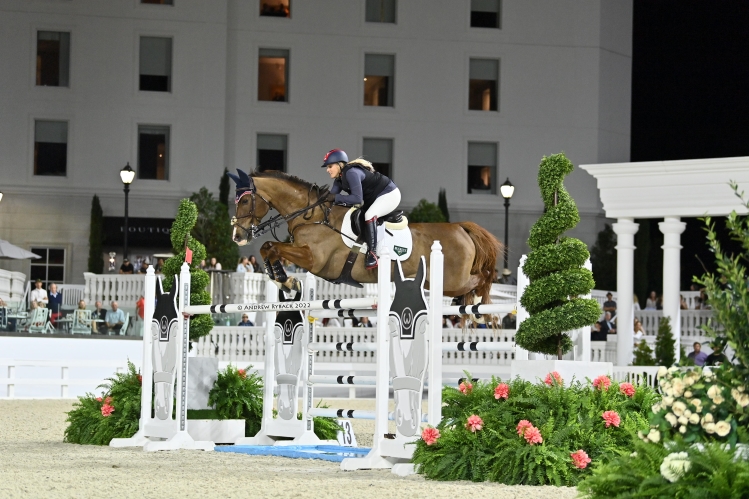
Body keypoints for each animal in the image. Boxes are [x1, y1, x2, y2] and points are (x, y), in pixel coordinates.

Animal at [228, 169, 501, 304]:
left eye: (246, 201)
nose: (237, 236)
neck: (312, 214)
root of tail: (461, 228)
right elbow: (267, 247)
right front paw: (282, 280)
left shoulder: (314, 260)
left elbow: (272, 247)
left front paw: (287, 281)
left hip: (452, 281)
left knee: (481, 279)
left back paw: (477, 302)